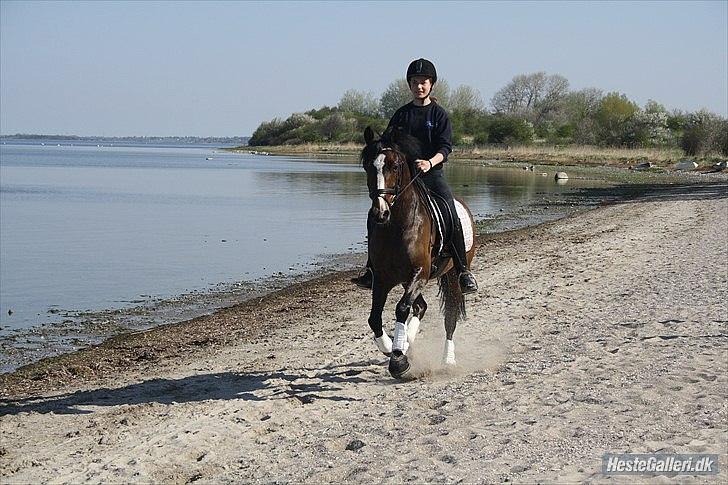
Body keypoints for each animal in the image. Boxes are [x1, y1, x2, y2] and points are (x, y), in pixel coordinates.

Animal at [360, 126, 476, 379]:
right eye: (367, 165)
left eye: (394, 166)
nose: (379, 213)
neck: (397, 225)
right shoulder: (383, 278)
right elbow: (374, 317)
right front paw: (391, 347)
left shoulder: (420, 272)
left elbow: (401, 308)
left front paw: (398, 360)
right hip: (407, 280)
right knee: (420, 307)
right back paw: (407, 342)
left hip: (451, 275)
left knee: (449, 316)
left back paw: (447, 359)